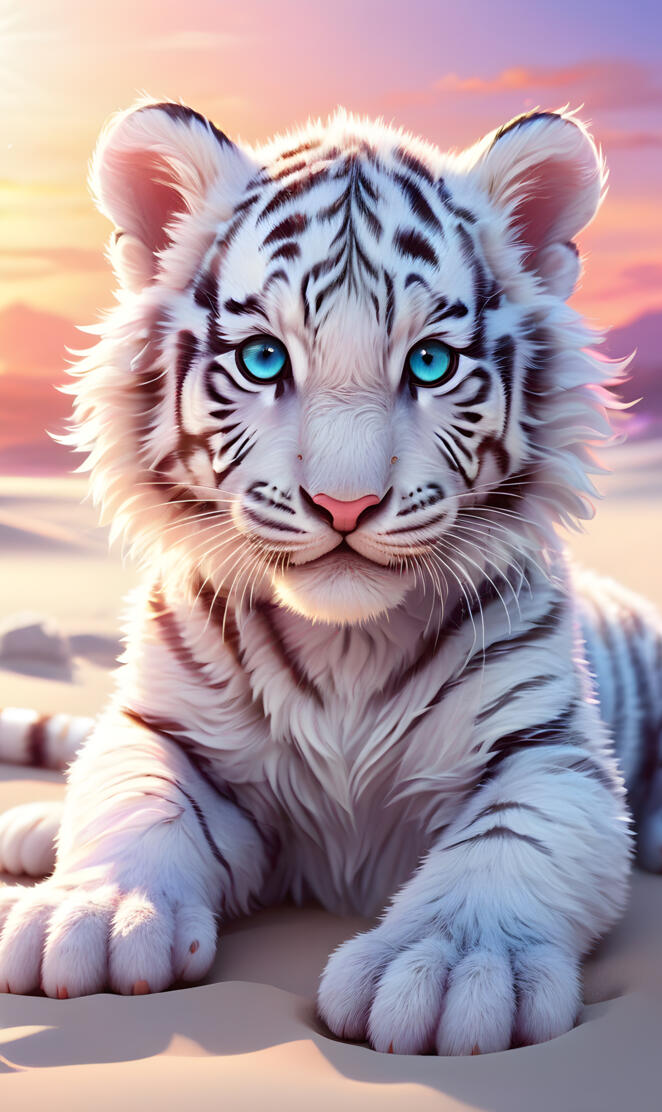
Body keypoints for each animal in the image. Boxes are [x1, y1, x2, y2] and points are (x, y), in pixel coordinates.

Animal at [0, 98, 660, 1057]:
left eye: (430, 363)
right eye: (265, 359)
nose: (345, 504)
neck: (346, 642)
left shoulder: (547, 750)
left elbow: (512, 836)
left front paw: (448, 968)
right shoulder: (171, 727)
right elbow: (137, 792)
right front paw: (92, 917)